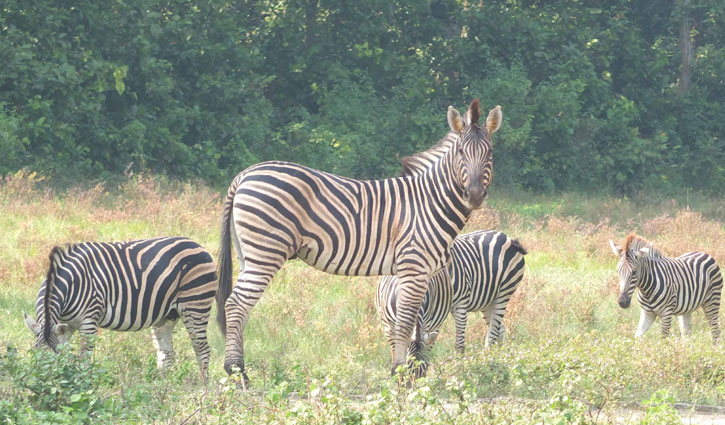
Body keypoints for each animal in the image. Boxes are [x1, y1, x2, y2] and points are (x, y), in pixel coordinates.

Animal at [24, 237, 219, 382]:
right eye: (35, 359)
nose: (44, 385)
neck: (72, 283)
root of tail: (198, 245)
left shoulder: (89, 321)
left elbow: (85, 360)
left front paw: (83, 386)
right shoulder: (66, 325)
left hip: (196, 305)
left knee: (202, 350)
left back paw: (205, 390)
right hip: (166, 316)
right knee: (167, 353)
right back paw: (159, 389)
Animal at [218, 98, 504, 380]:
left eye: (490, 154)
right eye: (461, 153)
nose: (474, 196)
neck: (429, 202)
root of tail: (245, 174)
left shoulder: (416, 274)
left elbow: (412, 327)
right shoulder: (414, 267)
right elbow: (404, 325)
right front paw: (398, 373)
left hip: (248, 253)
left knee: (239, 306)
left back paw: (237, 371)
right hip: (265, 252)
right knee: (236, 305)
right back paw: (237, 373)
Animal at [374, 230, 528, 372]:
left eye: (424, 370)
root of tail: (507, 237)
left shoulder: (457, 306)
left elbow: (458, 345)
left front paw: (459, 369)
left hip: (503, 293)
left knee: (491, 335)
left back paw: (489, 362)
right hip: (488, 301)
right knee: (499, 330)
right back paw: (499, 359)